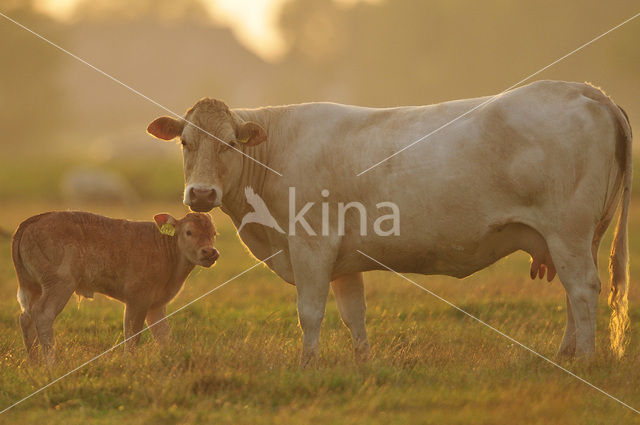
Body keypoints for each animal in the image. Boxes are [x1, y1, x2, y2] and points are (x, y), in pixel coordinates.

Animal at [10, 210, 218, 360]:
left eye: (214, 233)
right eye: (189, 232)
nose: (209, 252)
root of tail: (32, 221)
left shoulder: (156, 305)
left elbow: (164, 335)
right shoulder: (137, 299)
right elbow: (132, 334)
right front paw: (129, 364)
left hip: (33, 286)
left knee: (26, 318)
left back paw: (34, 363)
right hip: (59, 284)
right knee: (42, 314)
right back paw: (51, 364)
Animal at [148, 80, 632, 364]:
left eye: (229, 144)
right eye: (186, 142)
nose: (202, 195)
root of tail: (586, 89)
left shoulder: (311, 244)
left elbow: (310, 312)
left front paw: (307, 365)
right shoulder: (343, 261)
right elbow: (353, 315)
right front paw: (362, 364)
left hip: (568, 231)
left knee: (583, 289)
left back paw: (585, 359)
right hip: (579, 236)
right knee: (573, 292)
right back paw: (567, 352)